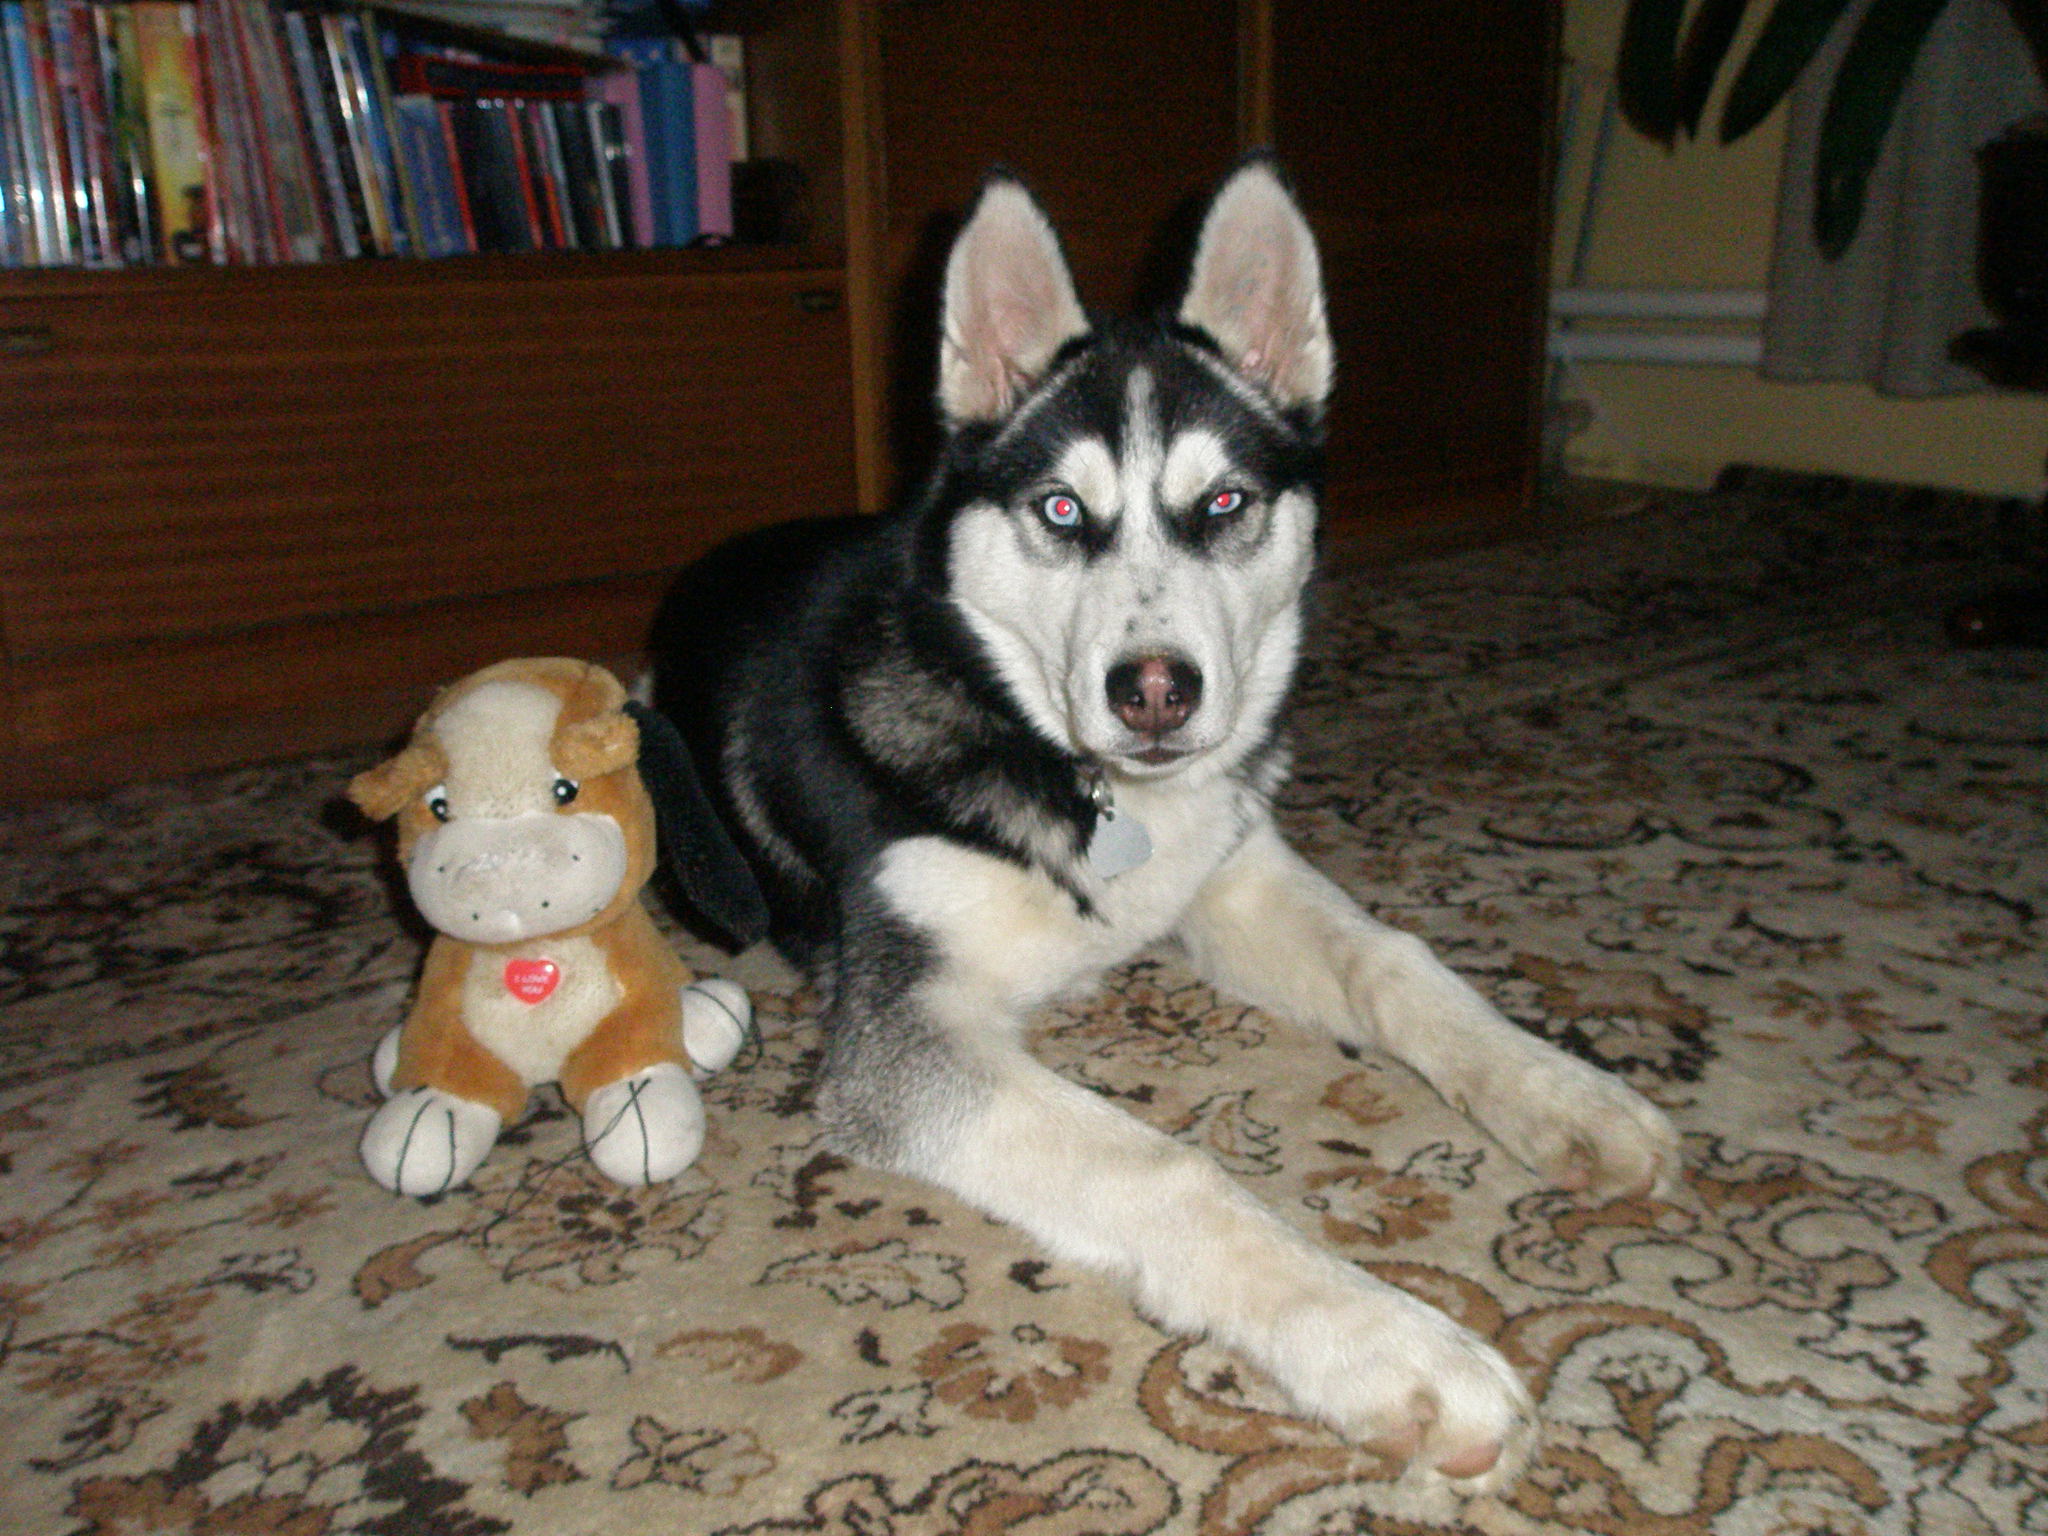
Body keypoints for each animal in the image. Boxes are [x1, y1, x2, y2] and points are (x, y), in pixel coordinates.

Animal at [647, 158, 1679, 1494]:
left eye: (1223, 502)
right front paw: (1392, 1346)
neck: (1058, 763)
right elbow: (1167, 1165)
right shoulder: (903, 1037)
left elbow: (1399, 965)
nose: (1153, 691)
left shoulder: (1232, 875)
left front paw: (1565, 1095)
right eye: (1060, 510)